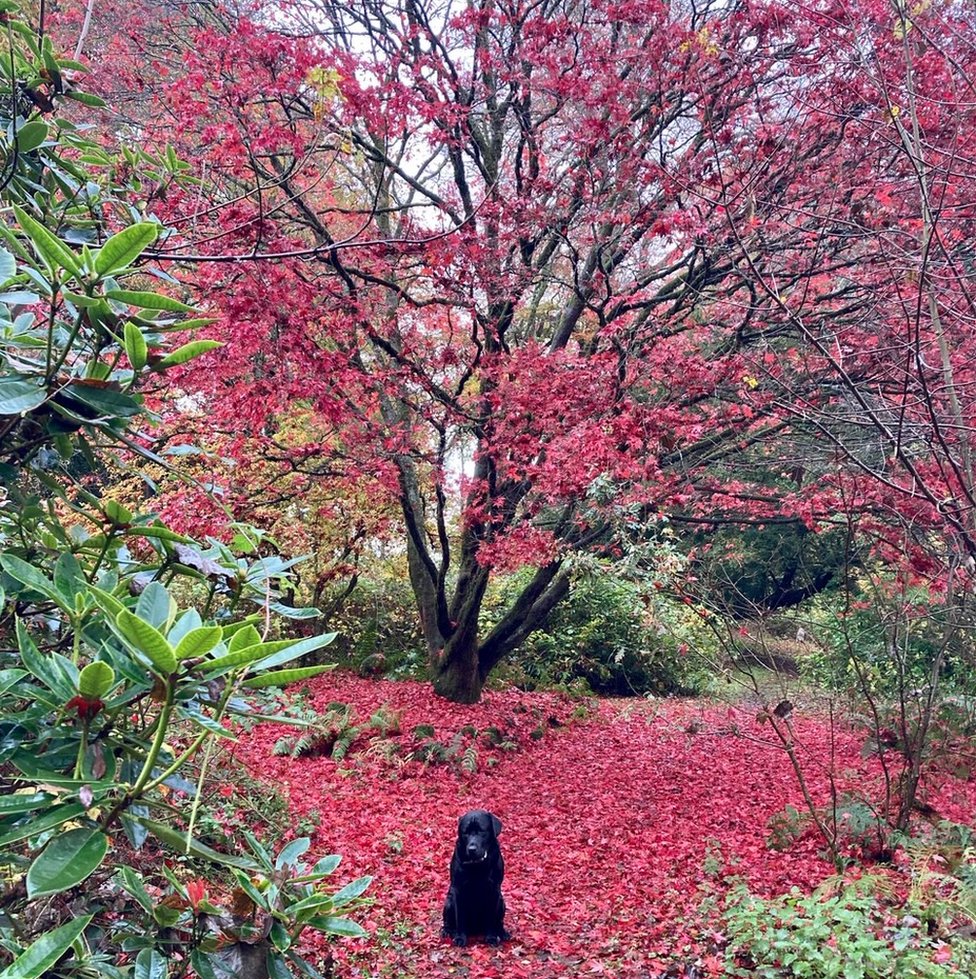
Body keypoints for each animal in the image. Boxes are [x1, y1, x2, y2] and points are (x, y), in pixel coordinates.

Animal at [440, 808, 508, 944]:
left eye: (482, 831)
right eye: (465, 832)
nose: (471, 849)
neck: (477, 864)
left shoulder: (494, 890)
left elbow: (491, 918)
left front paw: (491, 937)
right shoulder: (458, 890)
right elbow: (460, 918)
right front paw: (460, 938)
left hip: (501, 902)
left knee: (499, 922)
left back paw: (502, 933)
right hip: (449, 902)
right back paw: (447, 931)